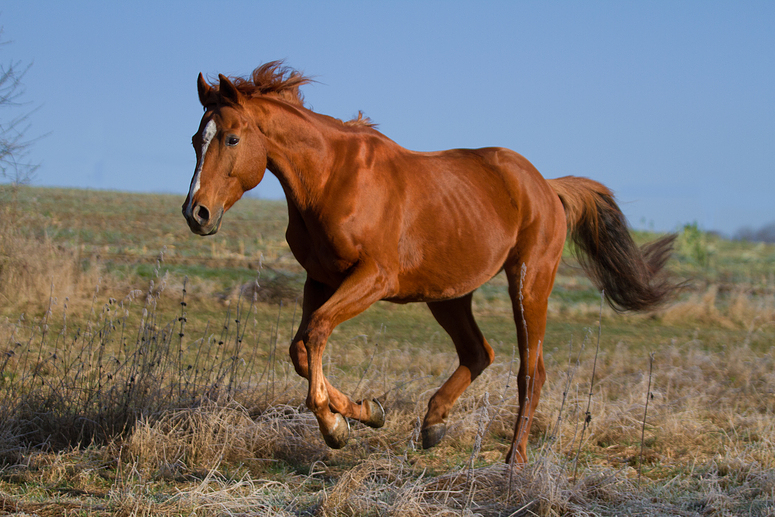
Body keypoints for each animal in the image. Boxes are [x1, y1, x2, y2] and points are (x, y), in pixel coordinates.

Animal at [185, 61, 676, 464]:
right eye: (195, 140)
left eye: (231, 138)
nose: (197, 213)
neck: (332, 179)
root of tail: (546, 186)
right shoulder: (319, 280)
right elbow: (301, 349)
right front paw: (365, 412)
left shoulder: (373, 278)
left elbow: (318, 331)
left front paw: (335, 427)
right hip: (450, 295)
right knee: (479, 352)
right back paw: (433, 424)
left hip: (529, 282)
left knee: (529, 372)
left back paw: (513, 462)